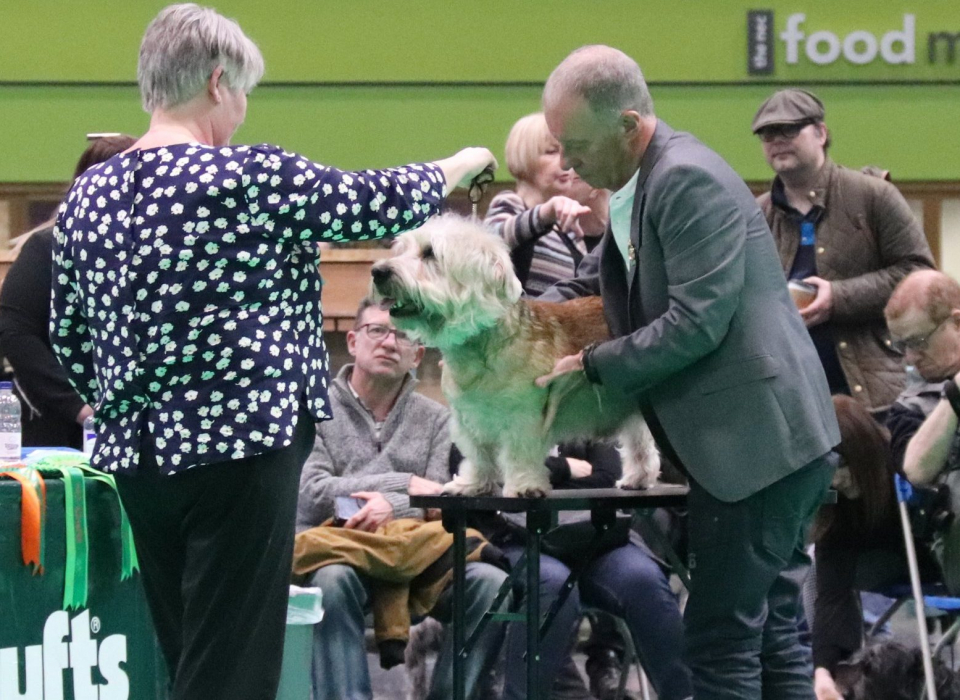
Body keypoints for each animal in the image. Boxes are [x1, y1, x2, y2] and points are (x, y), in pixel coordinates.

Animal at [370, 213, 660, 498]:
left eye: (430, 253)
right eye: (402, 249)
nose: (377, 271)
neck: (480, 347)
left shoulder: (524, 417)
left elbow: (520, 454)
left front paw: (524, 486)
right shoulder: (468, 419)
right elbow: (478, 456)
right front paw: (473, 484)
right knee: (640, 443)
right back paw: (637, 478)